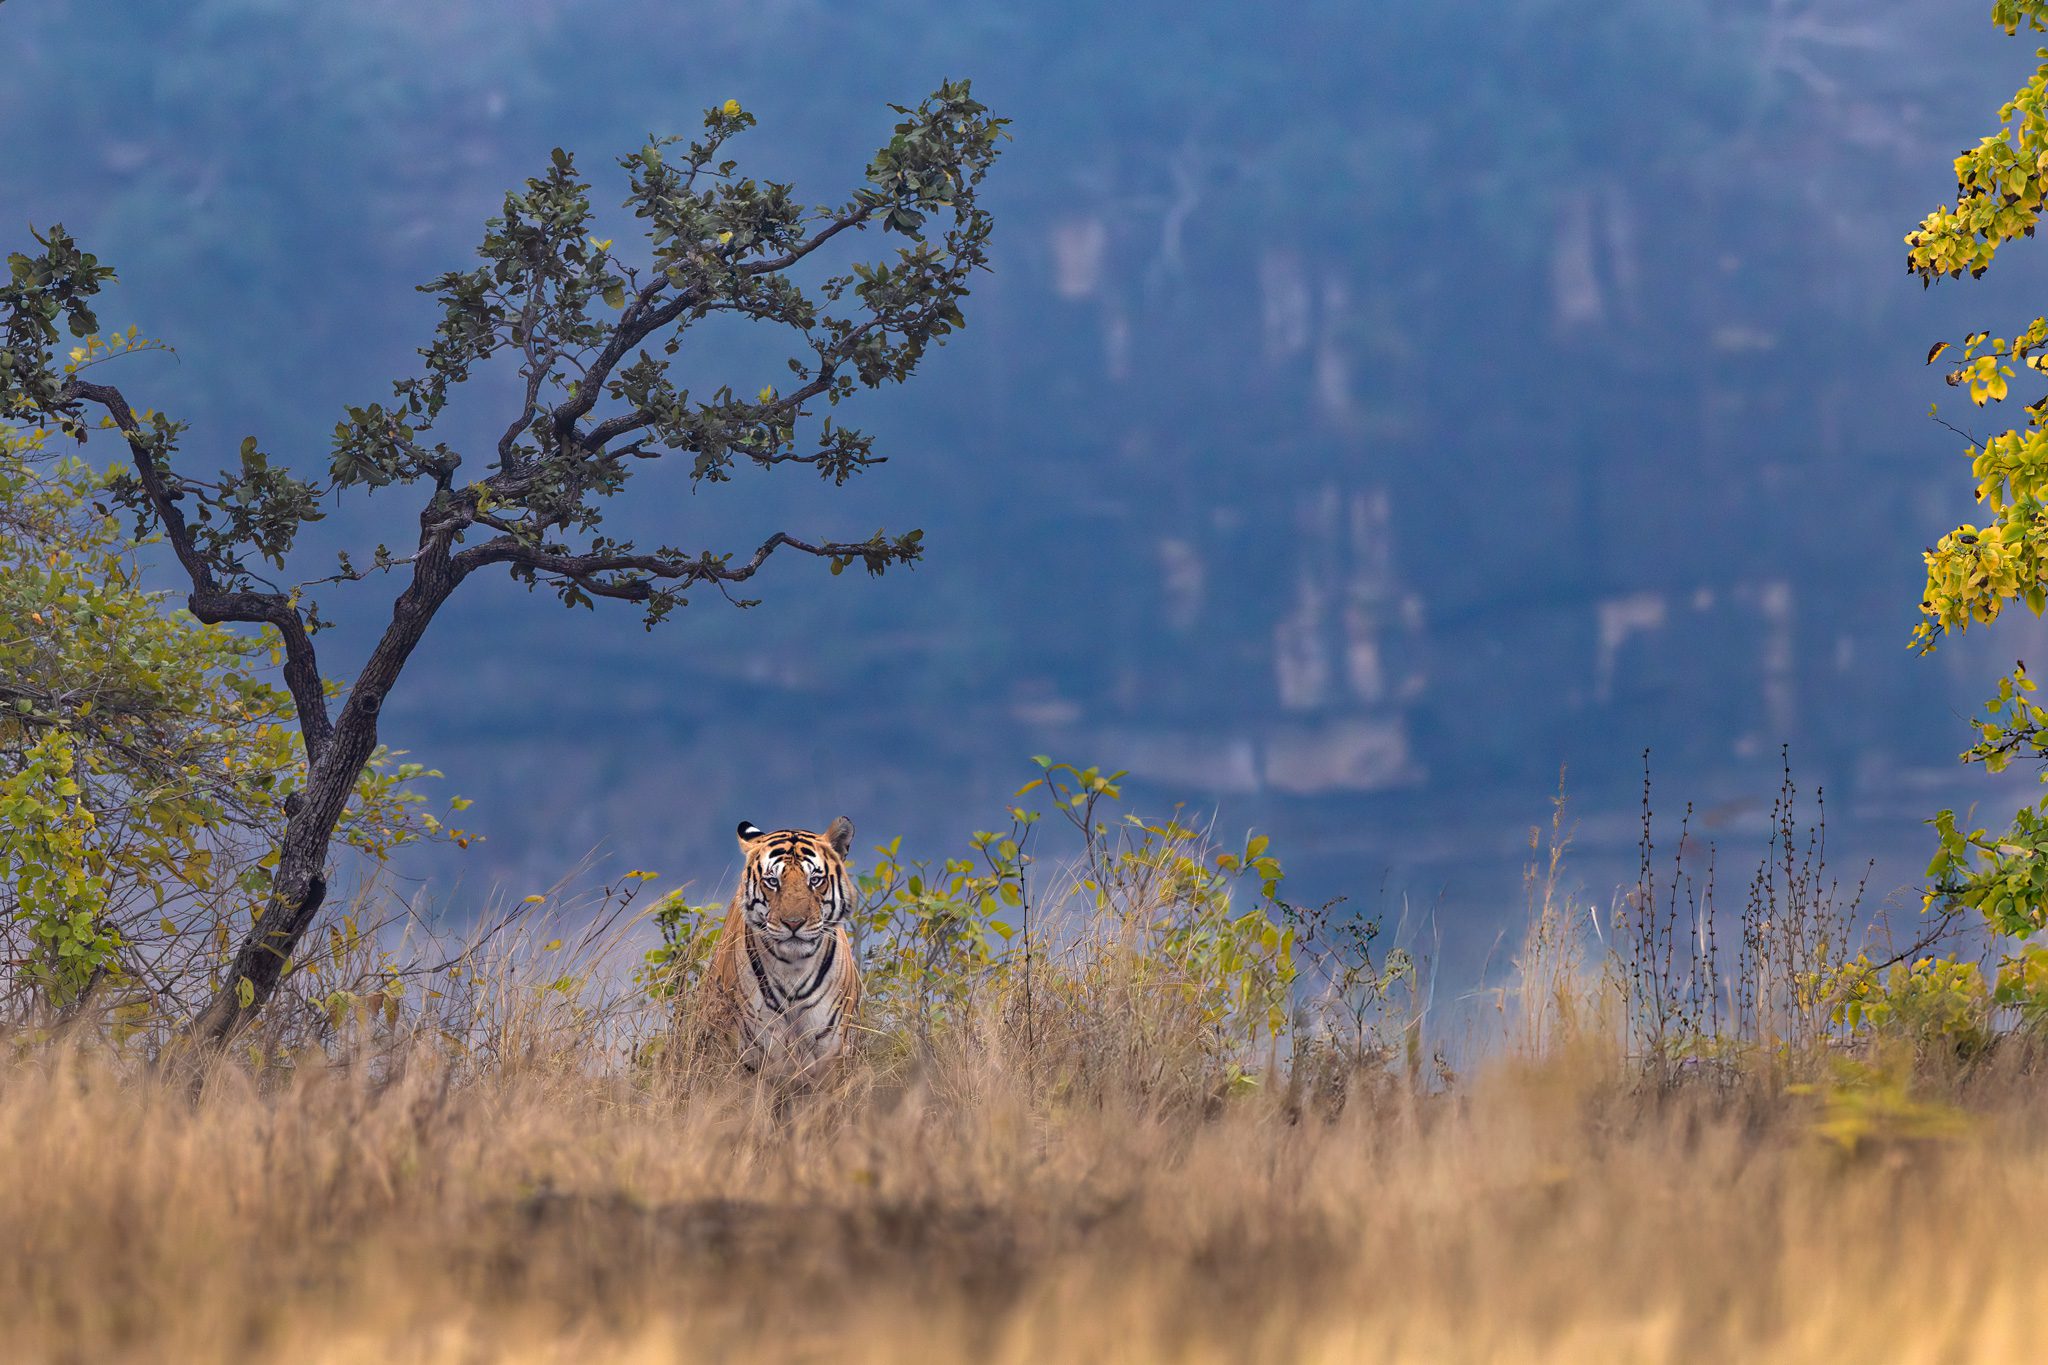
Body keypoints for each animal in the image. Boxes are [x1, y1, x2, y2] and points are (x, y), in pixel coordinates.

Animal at [700, 816, 862, 1073]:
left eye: (814, 880)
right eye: (772, 881)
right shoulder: (752, 1053)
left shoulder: (830, 1052)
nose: (793, 922)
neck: (793, 969)